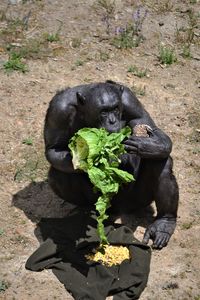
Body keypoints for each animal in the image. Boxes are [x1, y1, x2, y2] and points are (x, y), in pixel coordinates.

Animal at [44, 79, 179, 248]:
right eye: (103, 112)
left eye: (115, 109)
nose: (112, 121)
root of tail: (120, 210)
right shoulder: (58, 110)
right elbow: (53, 149)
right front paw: (91, 157)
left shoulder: (130, 100)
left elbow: (154, 130)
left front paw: (147, 145)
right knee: (58, 173)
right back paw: (84, 212)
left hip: (137, 201)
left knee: (161, 161)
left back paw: (164, 223)